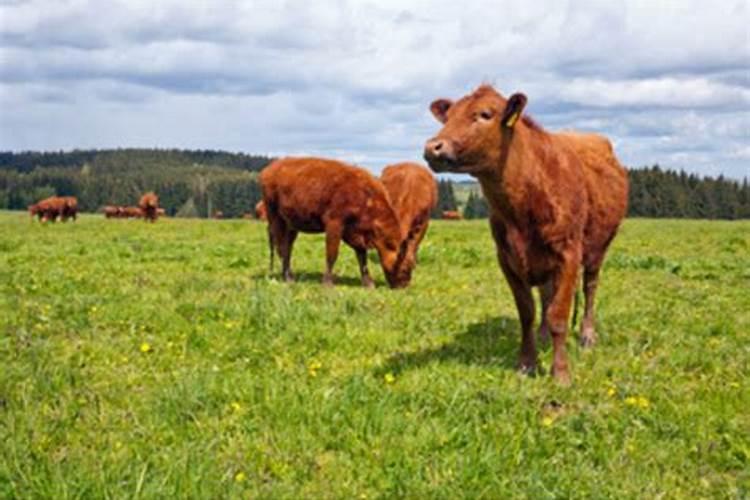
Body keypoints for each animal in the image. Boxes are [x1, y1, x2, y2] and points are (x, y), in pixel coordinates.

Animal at [262, 156, 418, 290]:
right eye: (405, 268)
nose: (404, 286)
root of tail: (269, 170)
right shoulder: (334, 224)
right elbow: (332, 254)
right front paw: (328, 283)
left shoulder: (354, 233)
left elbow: (362, 257)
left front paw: (368, 283)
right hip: (276, 218)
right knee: (281, 247)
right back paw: (288, 278)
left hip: (292, 225)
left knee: (287, 247)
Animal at [426, 85, 632, 382]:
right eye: (448, 116)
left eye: (484, 114)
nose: (433, 147)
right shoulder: (506, 258)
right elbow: (527, 312)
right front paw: (527, 364)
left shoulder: (569, 254)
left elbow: (559, 315)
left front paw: (560, 372)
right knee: (546, 294)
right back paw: (544, 336)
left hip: (598, 248)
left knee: (590, 287)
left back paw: (587, 336)